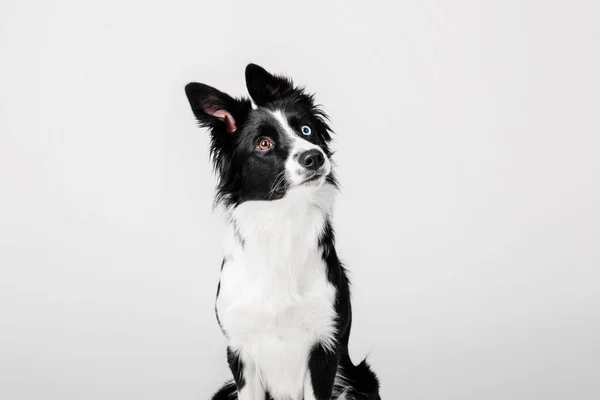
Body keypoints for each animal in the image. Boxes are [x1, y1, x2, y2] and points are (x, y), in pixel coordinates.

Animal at [184, 65, 380, 400]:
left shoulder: (324, 347)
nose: (314, 157)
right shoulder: (240, 352)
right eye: (264, 144)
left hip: (362, 380)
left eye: (306, 130)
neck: (283, 220)